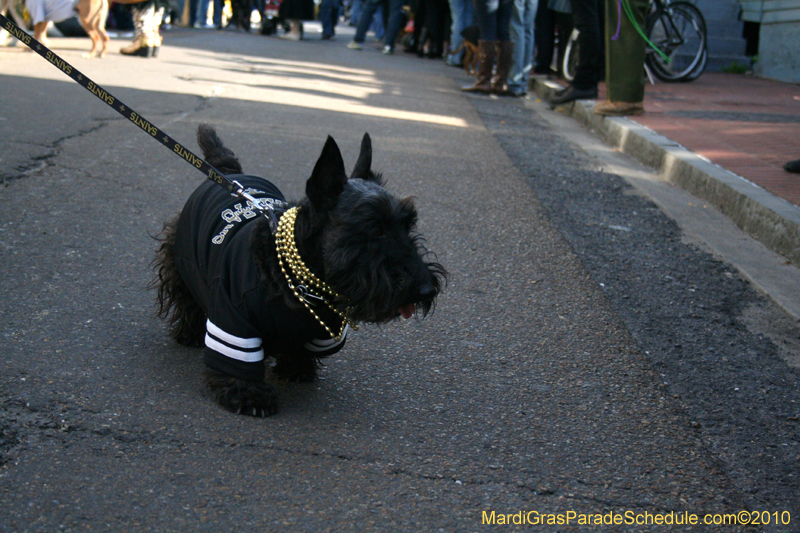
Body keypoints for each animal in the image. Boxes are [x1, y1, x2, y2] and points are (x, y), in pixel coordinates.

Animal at [153, 124, 446, 416]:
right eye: (375, 228)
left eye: (408, 224)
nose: (426, 289)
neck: (298, 282)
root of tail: (231, 172)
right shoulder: (233, 320)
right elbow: (238, 360)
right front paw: (248, 395)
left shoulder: (323, 328)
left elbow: (300, 347)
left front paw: (295, 367)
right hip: (181, 258)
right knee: (186, 297)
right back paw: (189, 333)